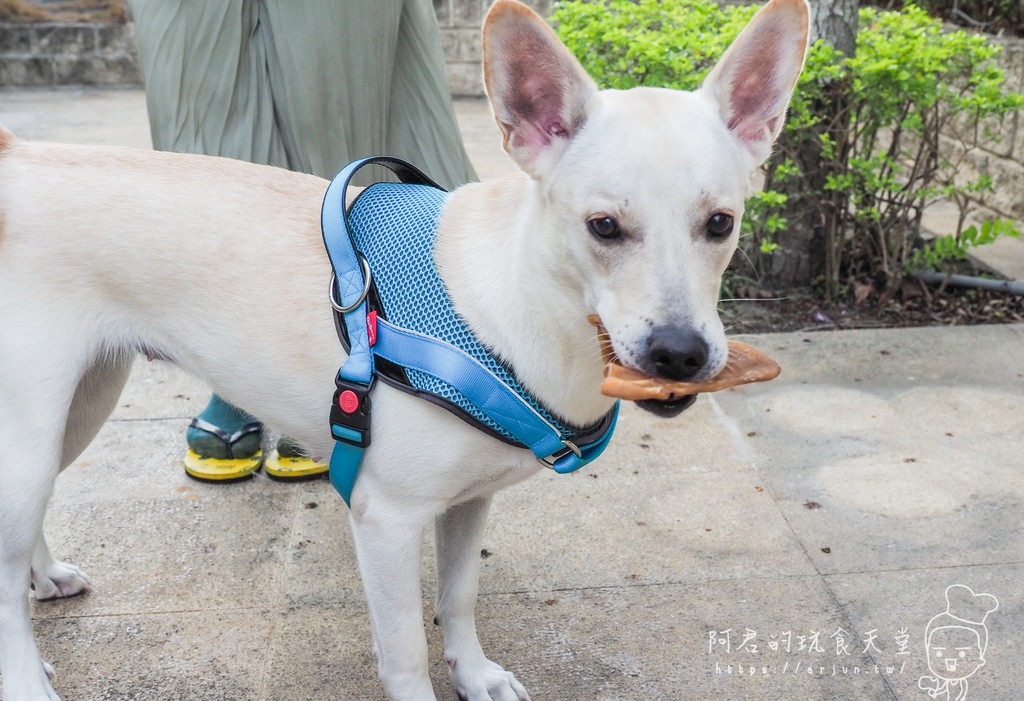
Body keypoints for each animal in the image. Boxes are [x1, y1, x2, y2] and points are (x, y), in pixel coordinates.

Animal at [0, 1, 806, 695]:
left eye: (721, 223)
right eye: (603, 226)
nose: (679, 353)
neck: (515, 306)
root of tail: (17, 156)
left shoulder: (470, 500)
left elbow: (459, 596)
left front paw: (475, 675)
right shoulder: (384, 520)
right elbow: (404, 651)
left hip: (80, 409)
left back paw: (46, 577)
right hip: (31, 439)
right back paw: (27, 676)